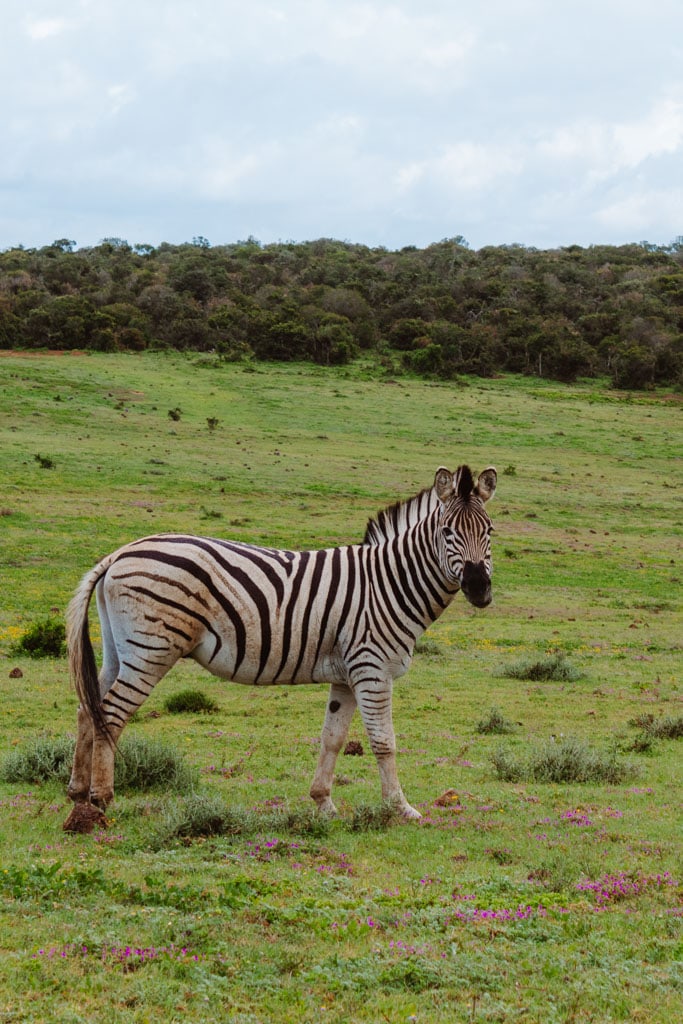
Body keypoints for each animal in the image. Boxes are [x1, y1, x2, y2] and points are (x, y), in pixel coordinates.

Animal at [62, 466, 497, 831]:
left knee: (89, 708)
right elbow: (384, 742)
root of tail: (118, 554)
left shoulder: (347, 675)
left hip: (120, 649)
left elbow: (333, 738)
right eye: (447, 532)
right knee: (112, 714)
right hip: (151, 650)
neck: (389, 583)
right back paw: (102, 800)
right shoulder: (372, 667)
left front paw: (323, 803)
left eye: (490, 531)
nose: (479, 589)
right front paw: (400, 808)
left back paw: (78, 795)